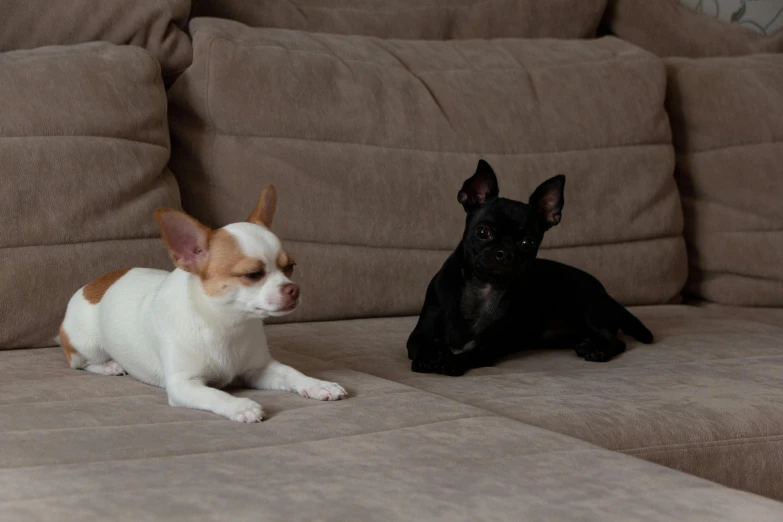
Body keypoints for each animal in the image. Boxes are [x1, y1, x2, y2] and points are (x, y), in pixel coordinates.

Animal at [58, 185, 346, 420]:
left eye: (290, 268)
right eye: (253, 274)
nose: (294, 289)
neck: (226, 324)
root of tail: (92, 285)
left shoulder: (259, 370)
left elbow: (291, 373)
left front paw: (318, 384)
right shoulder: (184, 385)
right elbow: (215, 394)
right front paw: (241, 405)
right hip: (86, 344)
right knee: (79, 362)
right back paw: (110, 366)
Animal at [408, 158, 652, 374]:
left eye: (528, 243)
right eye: (483, 232)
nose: (505, 253)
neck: (482, 288)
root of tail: (605, 293)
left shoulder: (490, 347)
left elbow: (472, 354)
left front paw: (451, 362)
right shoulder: (419, 333)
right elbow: (420, 344)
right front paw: (429, 357)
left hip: (588, 309)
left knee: (617, 341)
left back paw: (598, 350)